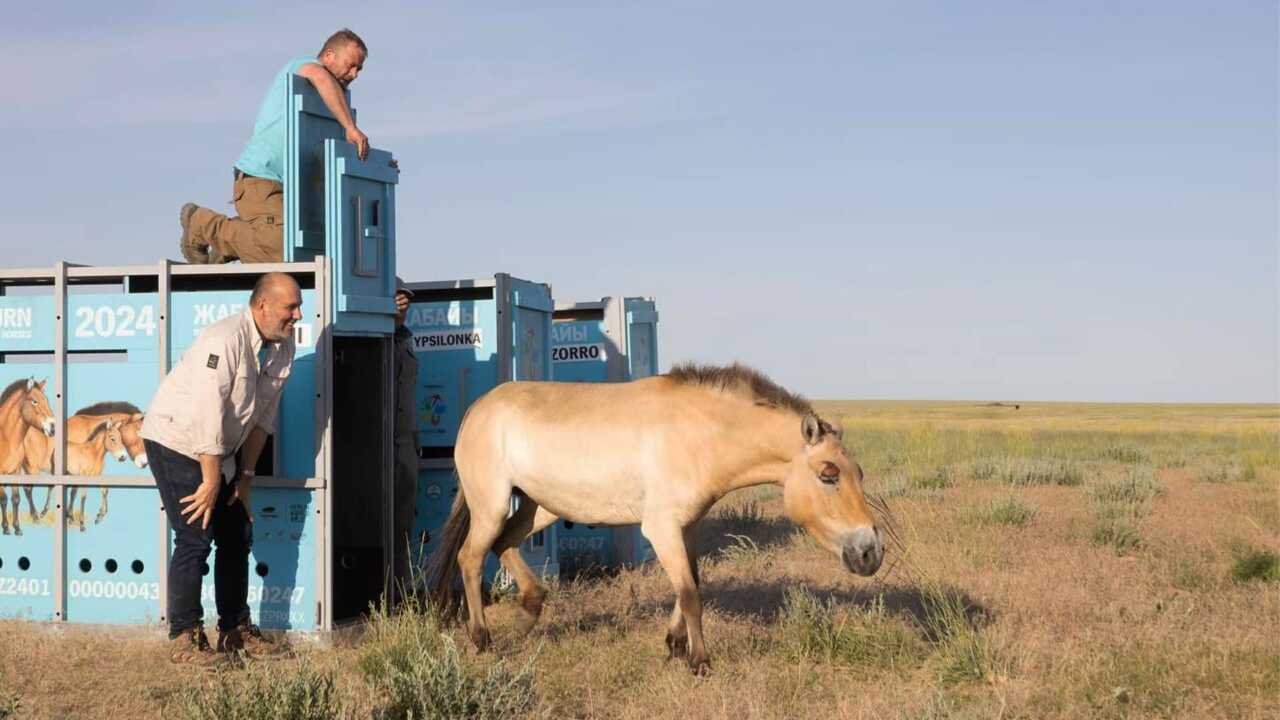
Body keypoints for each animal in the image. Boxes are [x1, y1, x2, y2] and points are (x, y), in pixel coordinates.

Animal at [0, 376, 54, 532]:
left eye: (46, 400)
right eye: (34, 401)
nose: (52, 428)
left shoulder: (15, 471)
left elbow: (16, 499)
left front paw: (17, 528)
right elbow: (4, 499)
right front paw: (6, 527)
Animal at [424, 361, 885, 671]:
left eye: (859, 473)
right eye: (829, 475)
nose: (870, 553)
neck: (698, 433)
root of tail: (478, 408)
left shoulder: (688, 527)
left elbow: (692, 583)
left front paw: (674, 644)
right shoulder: (661, 528)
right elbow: (690, 592)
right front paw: (698, 660)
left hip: (541, 507)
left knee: (504, 544)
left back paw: (529, 611)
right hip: (492, 505)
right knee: (470, 558)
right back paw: (481, 638)